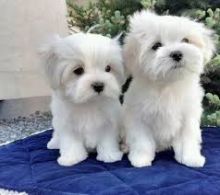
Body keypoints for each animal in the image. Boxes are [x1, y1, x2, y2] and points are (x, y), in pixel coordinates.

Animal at [40, 32, 124, 166]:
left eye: (108, 68)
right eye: (78, 70)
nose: (98, 85)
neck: (88, 103)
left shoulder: (109, 122)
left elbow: (107, 140)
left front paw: (110, 155)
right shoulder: (66, 125)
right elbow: (71, 143)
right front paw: (72, 158)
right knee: (56, 134)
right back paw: (54, 143)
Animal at [123, 10, 216, 168]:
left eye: (186, 40)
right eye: (156, 45)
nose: (177, 53)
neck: (168, 85)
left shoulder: (188, 116)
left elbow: (187, 139)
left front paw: (190, 158)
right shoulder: (139, 117)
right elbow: (142, 141)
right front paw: (141, 159)